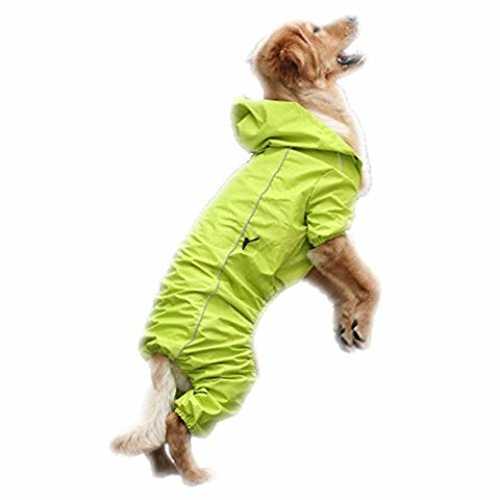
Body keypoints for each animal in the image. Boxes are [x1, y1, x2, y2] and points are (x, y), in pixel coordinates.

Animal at [112, 17, 379, 485]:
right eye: (316, 28)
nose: (355, 18)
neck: (307, 118)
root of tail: (160, 348)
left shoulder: (310, 255)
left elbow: (345, 286)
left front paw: (347, 323)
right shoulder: (328, 228)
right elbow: (369, 281)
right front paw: (362, 321)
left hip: (192, 379)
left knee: (158, 427)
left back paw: (164, 471)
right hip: (230, 373)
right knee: (175, 422)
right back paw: (195, 478)